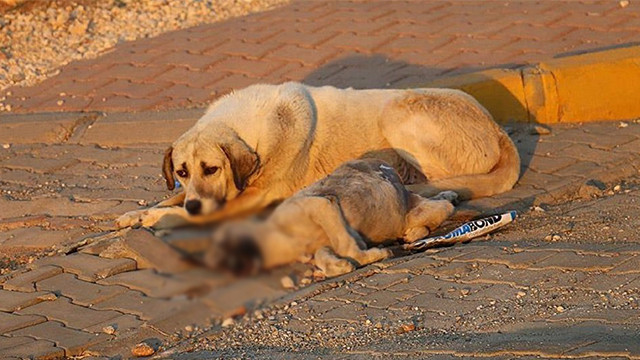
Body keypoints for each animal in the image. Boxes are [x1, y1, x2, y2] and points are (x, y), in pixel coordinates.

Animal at [115, 82, 520, 228]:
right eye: (181, 171)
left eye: (212, 168)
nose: (197, 204)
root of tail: (497, 128)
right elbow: (173, 199)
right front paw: (137, 213)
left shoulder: (249, 199)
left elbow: (183, 213)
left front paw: (154, 219)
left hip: (398, 109)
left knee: (436, 178)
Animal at [202, 159, 458, 278]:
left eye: (223, 244)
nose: (230, 269)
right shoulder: (321, 244)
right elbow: (326, 255)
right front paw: (341, 265)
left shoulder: (319, 205)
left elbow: (348, 245)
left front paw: (372, 255)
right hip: (410, 204)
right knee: (435, 205)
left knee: (441, 208)